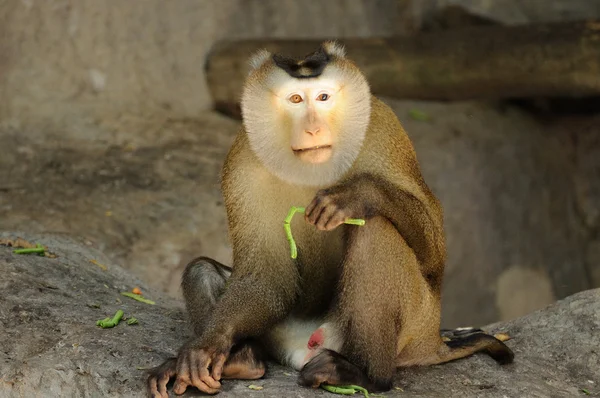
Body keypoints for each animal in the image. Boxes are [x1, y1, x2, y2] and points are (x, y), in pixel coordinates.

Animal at [144, 40, 510, 398]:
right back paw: (243, 360)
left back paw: (367, 375)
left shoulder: (382, 127)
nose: (313, 128)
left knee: (376, 229)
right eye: (295, 99)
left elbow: (434, 251)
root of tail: (433, 342)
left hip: (414, 325)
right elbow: (264, 276)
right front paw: (206, 346)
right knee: (202, 271)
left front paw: (358, 195)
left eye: (323, 97)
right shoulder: (242, 160)